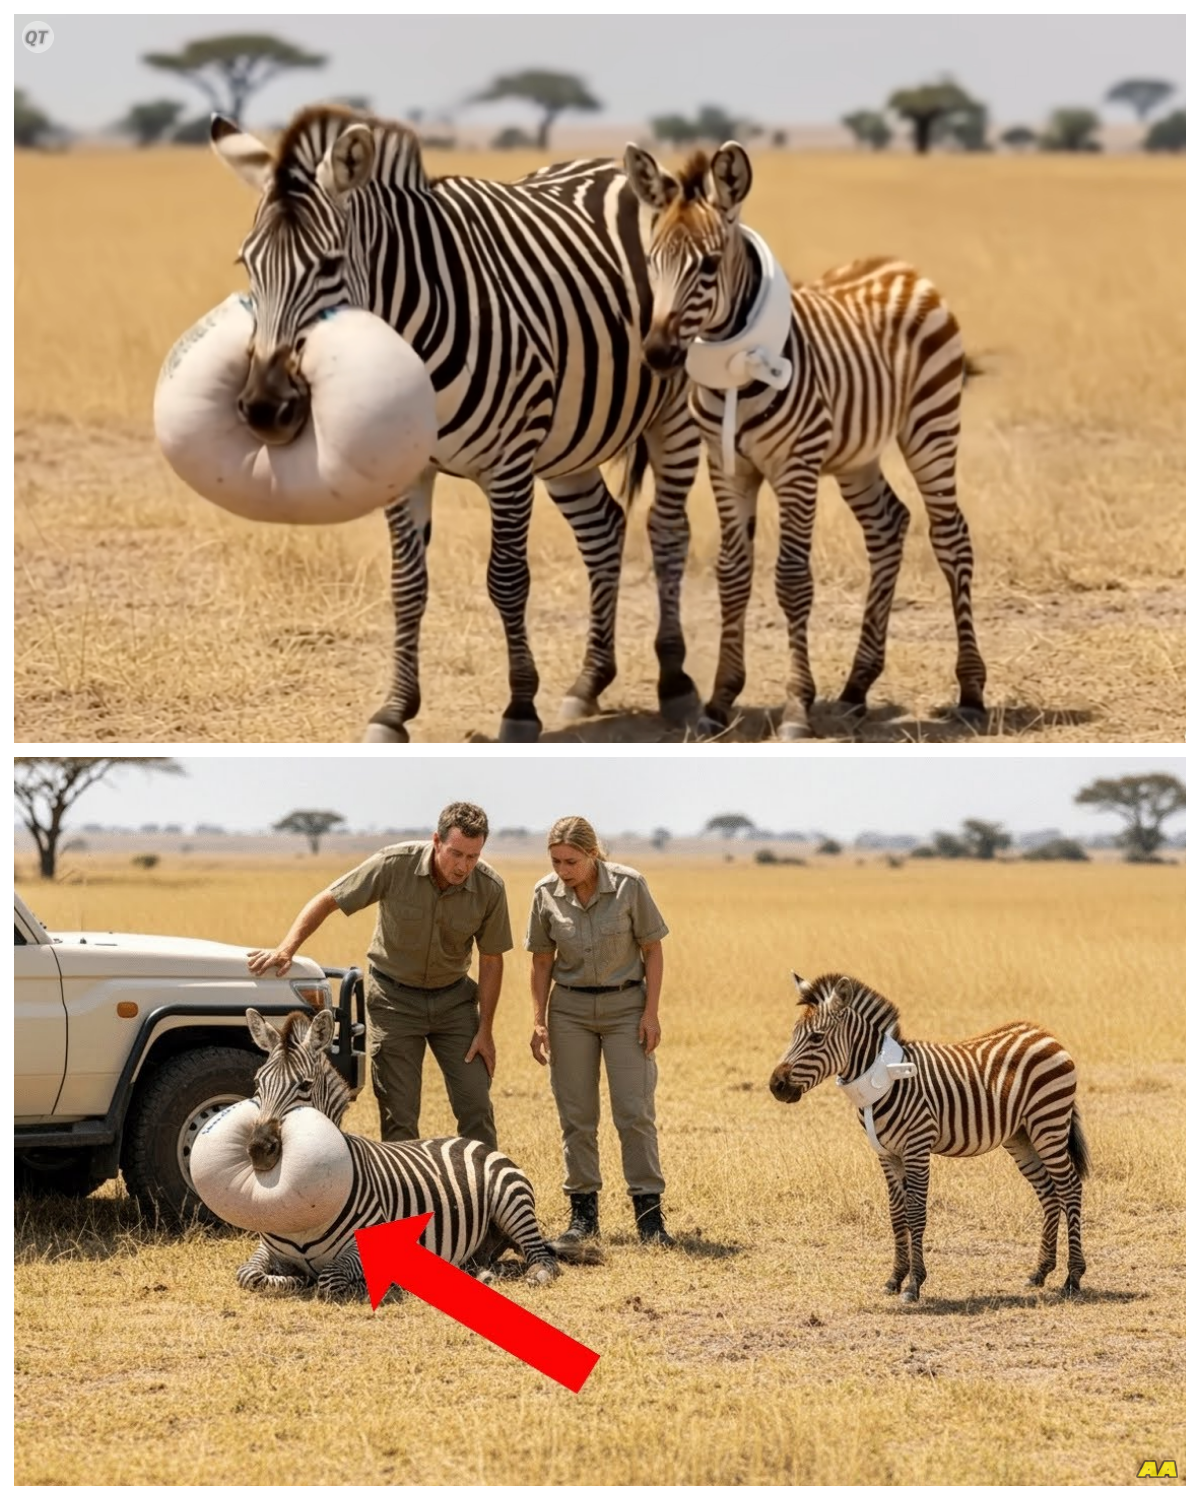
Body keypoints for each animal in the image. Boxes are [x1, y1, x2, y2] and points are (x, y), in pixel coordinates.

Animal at [209, 105, 704, 744]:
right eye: (246, 265)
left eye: (330, 266)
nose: (265, 408)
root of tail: (614, 168)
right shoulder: (406, 468)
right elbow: (406, 584)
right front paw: (394, 711)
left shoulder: (511, 461)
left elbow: (507, 579)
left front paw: (519, 708)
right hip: (570, 439)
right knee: (604, 528)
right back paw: (589, 681)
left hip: (673, 412)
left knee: (668, 532)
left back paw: (676, 683)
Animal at [235, 1008, 599, 1300]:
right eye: (258, 1083)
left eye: (305, 1086)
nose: (259, 1149)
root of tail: (474, 1142)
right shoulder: (266, 1250)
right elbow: (248, 1275)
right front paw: (292, 1280)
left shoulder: (370, 1247)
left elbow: (330, 1278)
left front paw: (357, 1284)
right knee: (488, 1261)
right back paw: (482, 1274)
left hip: (511, 1203)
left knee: (542, 1258)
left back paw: (534, 1273)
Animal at [623, 141, 987, 740]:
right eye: (651, 262)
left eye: (707, 265)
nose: (655, 354)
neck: (737, 364)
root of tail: (903, 266)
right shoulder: (727, 465)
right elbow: (732, 573)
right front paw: (719, 701)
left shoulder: (795, 465)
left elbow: (792, 578)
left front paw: (797, 708)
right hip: (856, 454)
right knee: (888, 525)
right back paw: (858, 686)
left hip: (931, 424)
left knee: (950, 535)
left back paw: (972, 690)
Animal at [768, 972, 1089, 1302]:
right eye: (794, 1035)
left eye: (816, 1038)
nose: (775, 1085)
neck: (886, 1075)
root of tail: (1044, 1033)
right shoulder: (886, 1153)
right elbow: (896, 1214)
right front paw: (894, 1278)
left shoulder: (917, 1147)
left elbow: (915, 1213)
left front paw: (914, 1284)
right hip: (1021, 1137)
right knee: (1049, 1193)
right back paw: (1040, 1272)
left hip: (1048, 1123)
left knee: (1070, 1188)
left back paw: (1072, 1278)